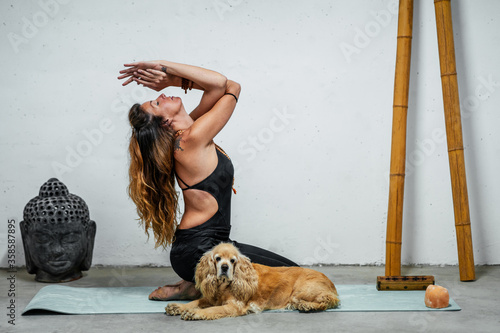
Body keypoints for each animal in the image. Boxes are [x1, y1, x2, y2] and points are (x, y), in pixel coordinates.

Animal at [164, 241, 340, 320]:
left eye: (233, 260)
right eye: (218, 258)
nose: (225, 267)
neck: (224, 286)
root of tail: (331, 284)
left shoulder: (233, 306)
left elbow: (211, 310)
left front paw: (194, 313)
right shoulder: (211, 298)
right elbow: (196, 302)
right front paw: (178, 307)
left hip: (300, 291)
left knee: (328, 300)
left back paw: (307, 306)